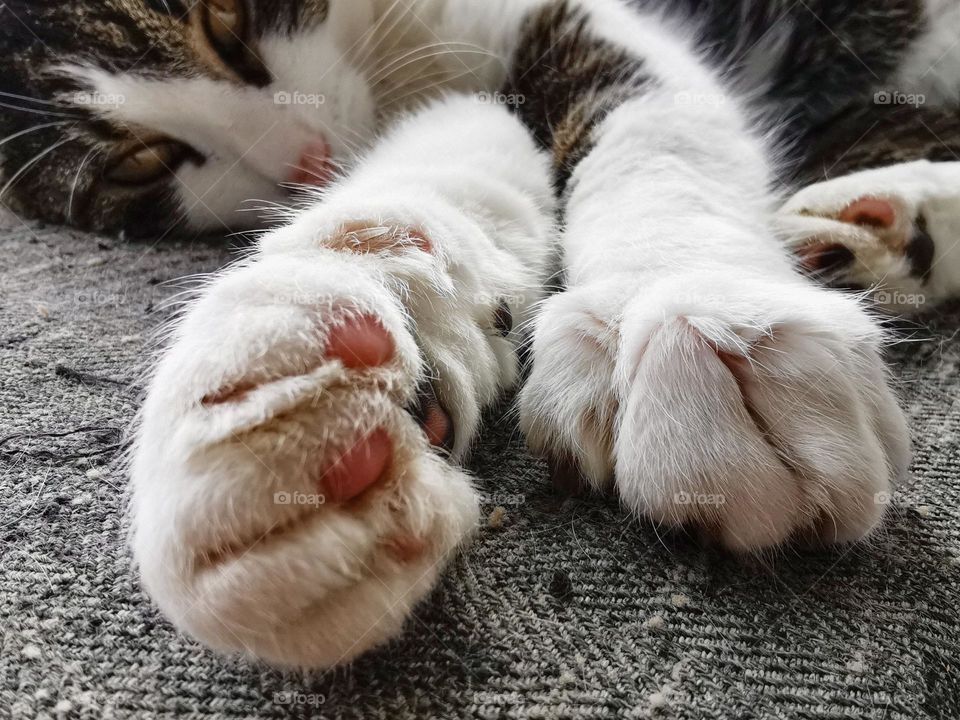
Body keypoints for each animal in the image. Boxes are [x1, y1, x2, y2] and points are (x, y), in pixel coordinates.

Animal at [1, 0, 960, 668]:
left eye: (224, 20)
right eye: (141, 161)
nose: (309, 156)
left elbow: (655, 131)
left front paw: (685, 298)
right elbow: (441, 176)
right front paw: (290, 376)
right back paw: (883, 231)